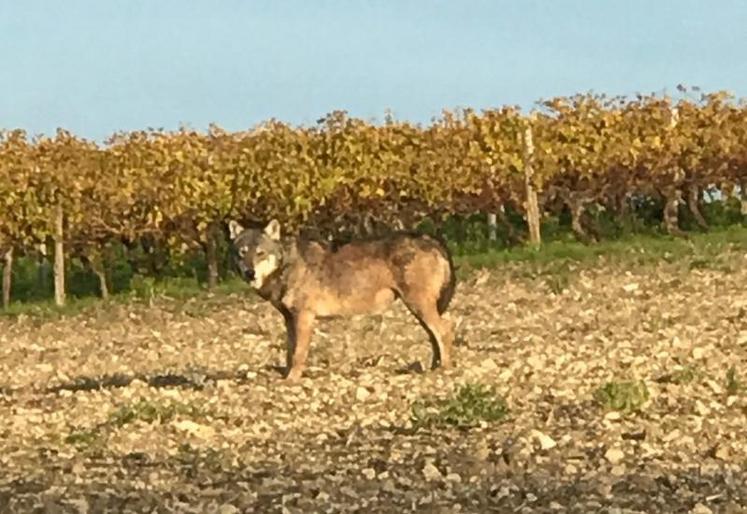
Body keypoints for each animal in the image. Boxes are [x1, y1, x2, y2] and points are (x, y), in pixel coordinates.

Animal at [228, 217, 456, 380]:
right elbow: (290, 352)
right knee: (434, 335)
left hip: (418, 306)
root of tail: (433, 240)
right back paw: (433, 366)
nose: (250, 273)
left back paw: (444, 369)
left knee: (445, 330)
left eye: (260, 253)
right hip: (419, 310)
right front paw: (286, 376)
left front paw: (292, 379)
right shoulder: (289, 319)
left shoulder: (304, 317)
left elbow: (298, 354)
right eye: (242, 253)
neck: (287, 266)